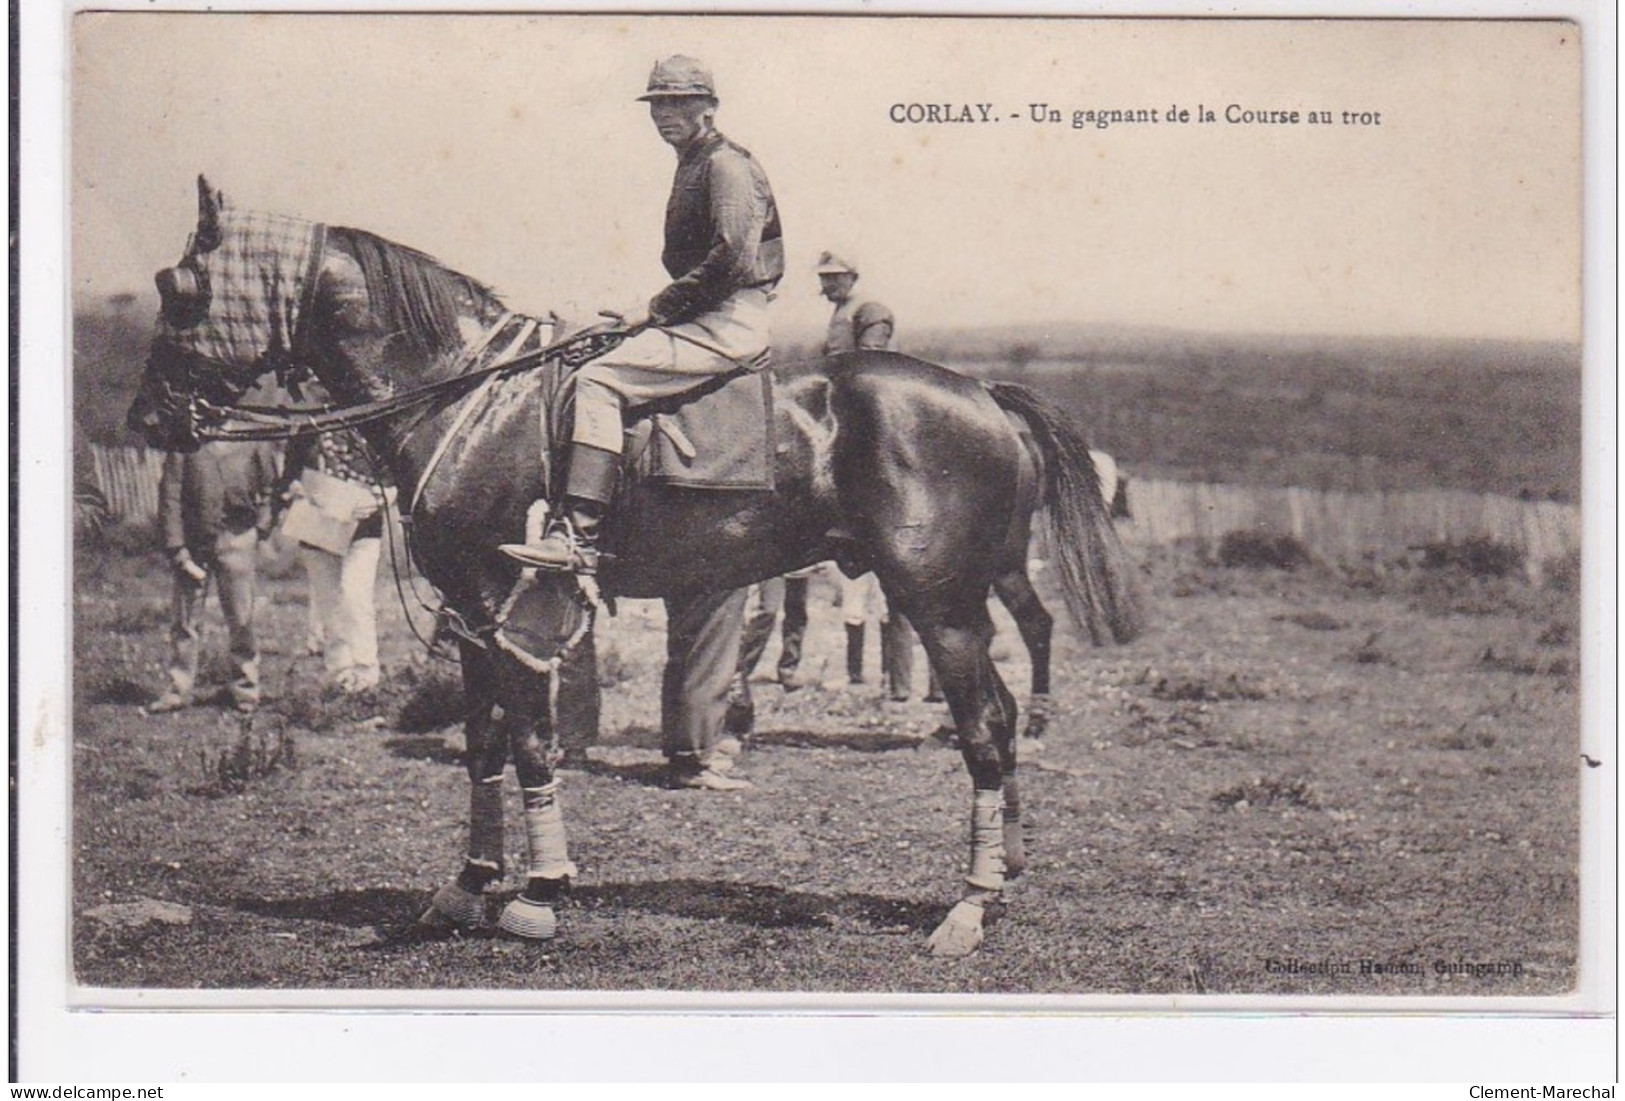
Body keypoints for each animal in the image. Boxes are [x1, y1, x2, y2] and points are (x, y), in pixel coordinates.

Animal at [130, 181, 1144, 954]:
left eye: (178, 288)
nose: (148, 419)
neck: (465, 393)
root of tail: (986, 397)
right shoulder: (470, 614)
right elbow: (482, 745)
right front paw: (468, 883)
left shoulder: (504, 606)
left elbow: (532, 742)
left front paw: (540, 889)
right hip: (960, 599)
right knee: (997, 717)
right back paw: (1001, 872)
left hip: (938, 603)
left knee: (986, 728)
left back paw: (966, 908)